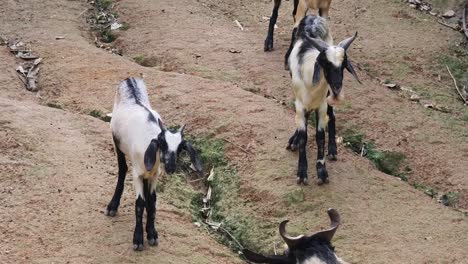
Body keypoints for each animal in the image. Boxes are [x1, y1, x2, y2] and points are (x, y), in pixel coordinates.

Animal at [105, 77, 202, 251]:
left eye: (180, 148)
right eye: (161, 143)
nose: (170, 167)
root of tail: (130, 79)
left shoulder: (154, 174)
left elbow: (152, 201)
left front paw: (151, 233)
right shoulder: (137, 173)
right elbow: (140, 203)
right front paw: (138, 238)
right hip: (116, 143)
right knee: (122, 169)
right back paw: (113, 206)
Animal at [288, 15, 360, 185]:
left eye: (343, 65)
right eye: (325, 63)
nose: (337, 87)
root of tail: (313, 16)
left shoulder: (321, 104)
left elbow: (320, 136)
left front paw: (322, 172)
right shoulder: (300, 104)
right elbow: (303, 136)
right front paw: (302, 173)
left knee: (332, 115)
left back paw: (333, 150)